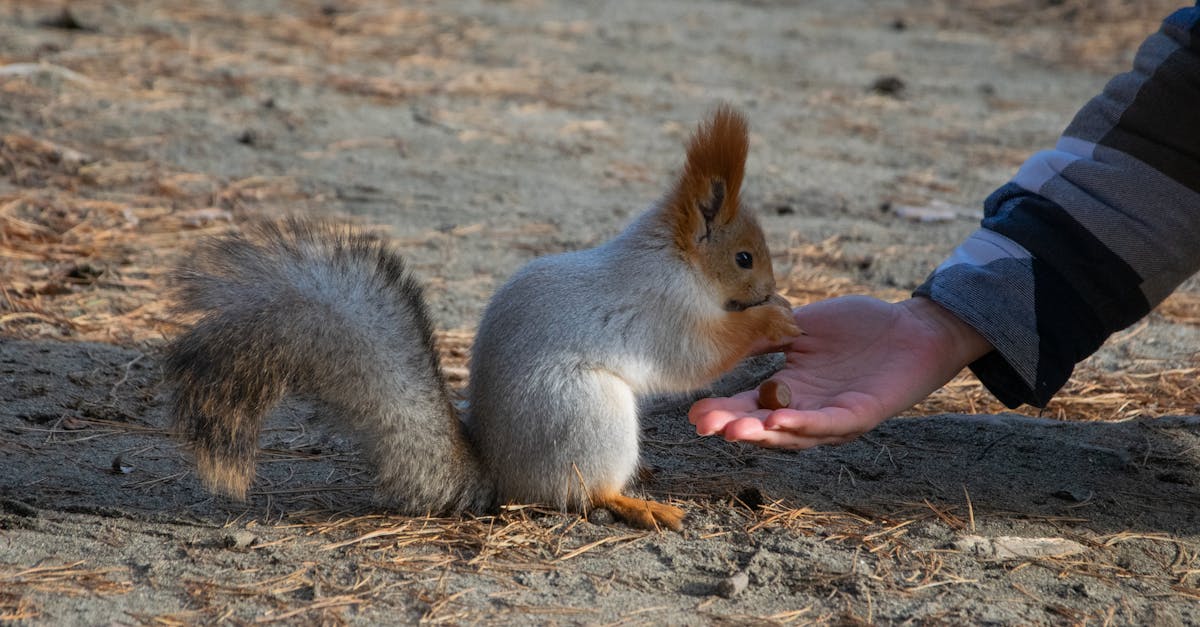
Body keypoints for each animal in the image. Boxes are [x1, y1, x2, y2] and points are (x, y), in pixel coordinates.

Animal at [164, 106, 801, 526]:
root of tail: (500, 474)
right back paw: (637, 504)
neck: (674, 258)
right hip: (586, 413)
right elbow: (699, 355)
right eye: (744, 258)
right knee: (582, 493)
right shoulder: (662, 309)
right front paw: (773, 322)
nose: (772, 288)